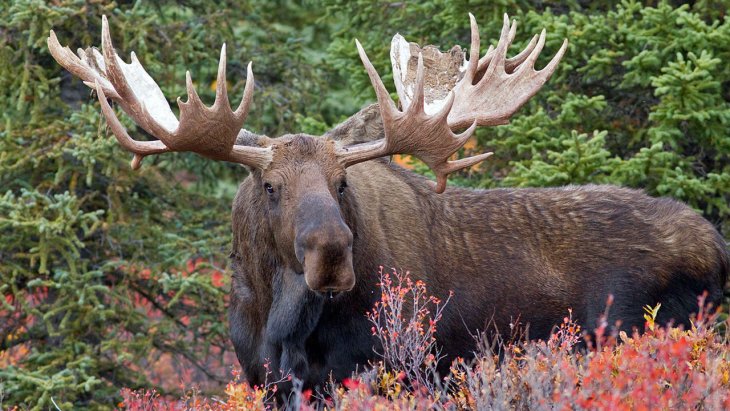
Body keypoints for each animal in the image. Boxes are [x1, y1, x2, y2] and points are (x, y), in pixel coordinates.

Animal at [48, 14, 728, 388]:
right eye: (269, 187)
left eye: (341, 184)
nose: (331, 253)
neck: (279, 322)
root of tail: (717, 245)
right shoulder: (261, 378)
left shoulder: (390, 366)